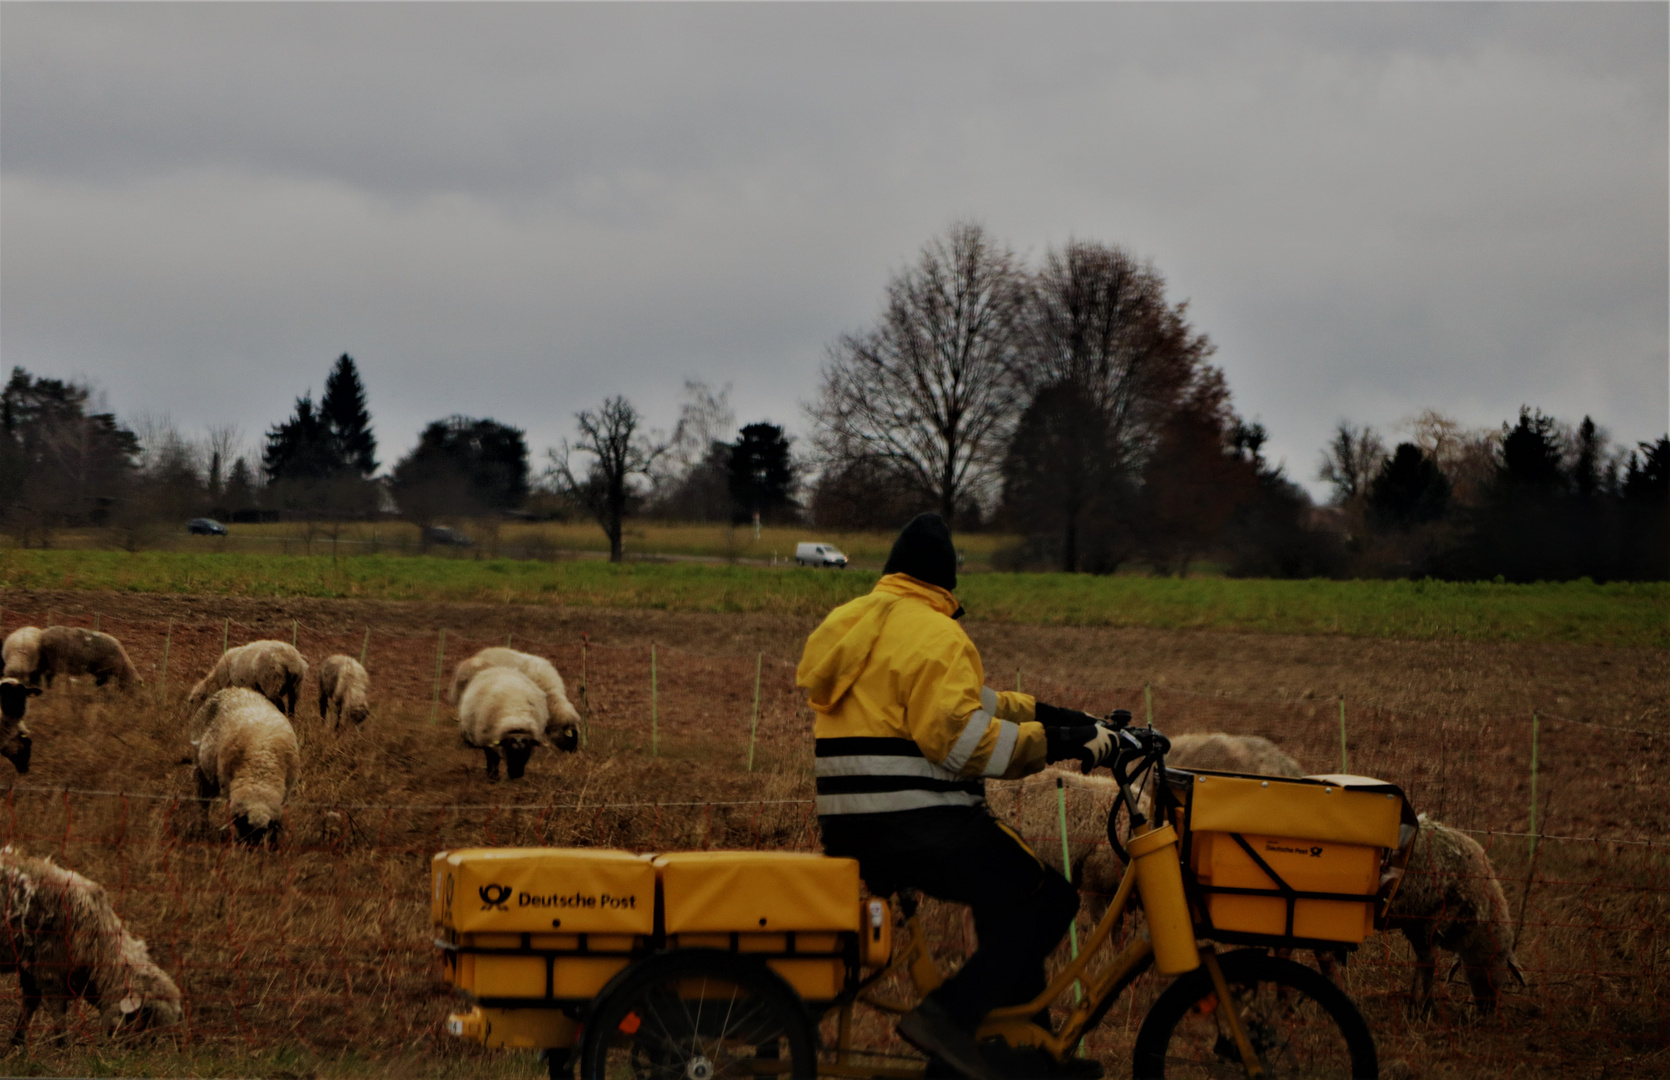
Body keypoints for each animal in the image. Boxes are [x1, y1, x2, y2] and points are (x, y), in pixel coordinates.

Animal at [0, 844, 183, 1048]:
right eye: (144, 1017)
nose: (136, 1052)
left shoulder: (30, 963)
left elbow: (29, 1003)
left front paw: (16, 1041)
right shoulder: (50, 968)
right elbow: (57, 1010)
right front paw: (62, 1045)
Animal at [191, 687, 302, 847]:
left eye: (263, 832)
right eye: (243, 827)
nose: (250, 849)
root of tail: (233, 688)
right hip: (201, 771)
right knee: (203, 803)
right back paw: (202, 828)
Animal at [1389, 814, 1523, 1021]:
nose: (1488, 1009)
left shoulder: (1415, 923)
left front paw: (1416, 1005)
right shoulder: (1434, 922)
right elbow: (1428, 963)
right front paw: (1425, 1008)